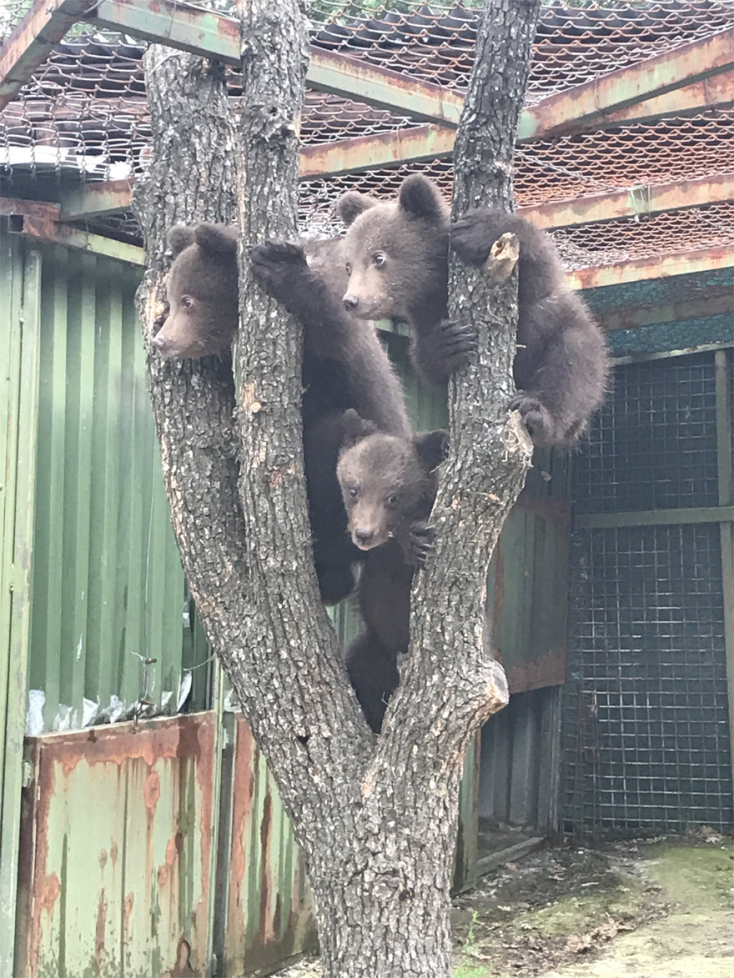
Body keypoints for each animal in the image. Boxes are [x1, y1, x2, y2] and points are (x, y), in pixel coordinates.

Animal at [158, 224, 411, 604]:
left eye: (188, 300)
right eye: (171, 298)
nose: (161, 340)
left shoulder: (340, 347)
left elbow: (337, 327)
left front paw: (281, 268)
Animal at [336, 174, 609, 449]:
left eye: (378, 257)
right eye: (348, 265)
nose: (351, 300)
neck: (435, 282)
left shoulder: (533, 299)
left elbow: (541, 273)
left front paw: (480, 229)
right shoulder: (424, 312)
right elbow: (427, 360)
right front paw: (449, 342)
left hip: (571, 337)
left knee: (572, 366)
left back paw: (536, 412)